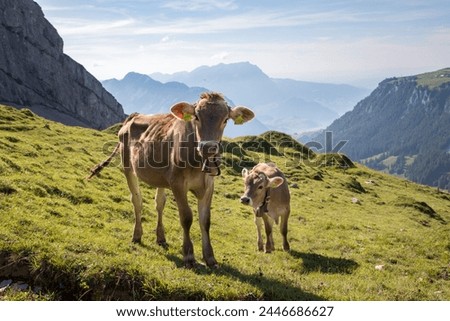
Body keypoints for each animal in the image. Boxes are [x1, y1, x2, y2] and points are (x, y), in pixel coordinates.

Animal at [89, 91, 255, 266]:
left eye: (225, 120)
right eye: (196, 117)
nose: (207, 147)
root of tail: (134, 116)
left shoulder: (209, 186)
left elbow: (205, 221)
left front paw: (210, 257)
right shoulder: (177, 183)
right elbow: (186, 217)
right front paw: (189, 255)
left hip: (161, 178)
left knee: (159, 203)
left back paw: (161, 237)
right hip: (128, 167)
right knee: (137, 201)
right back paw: (137, 235)